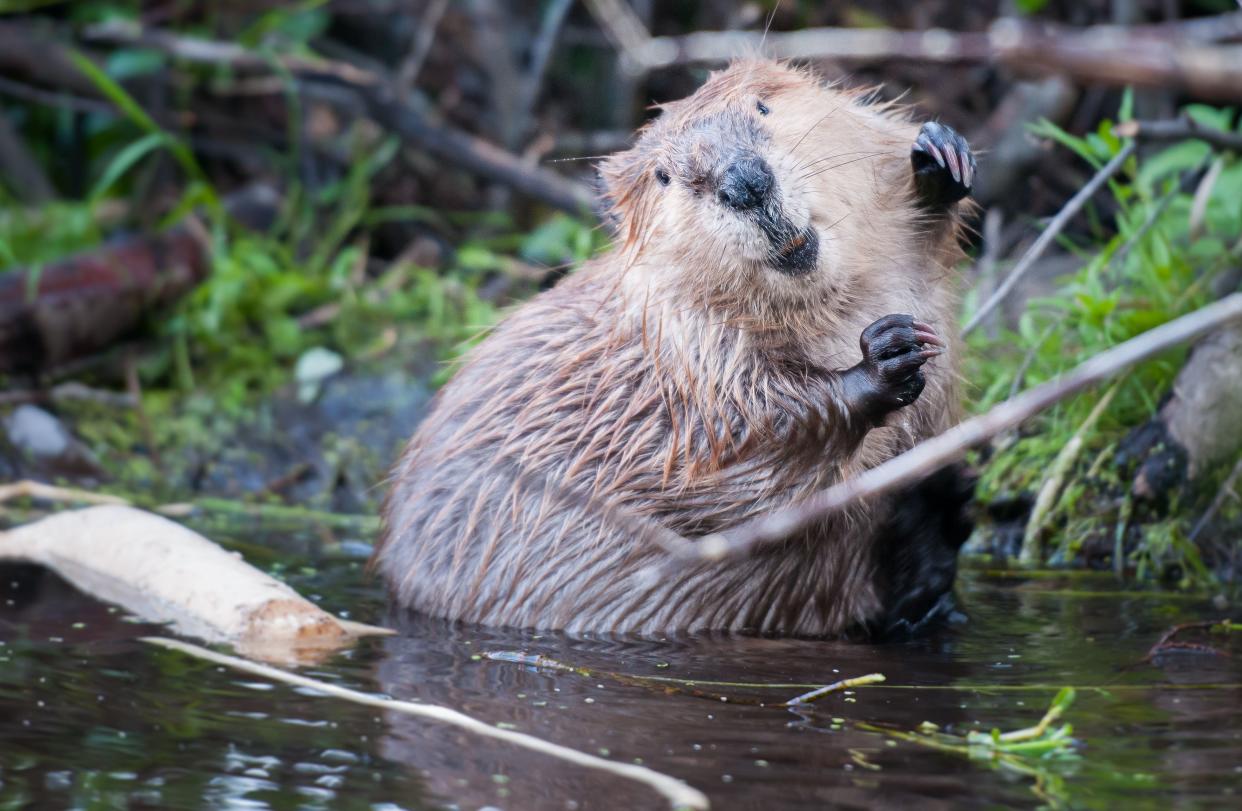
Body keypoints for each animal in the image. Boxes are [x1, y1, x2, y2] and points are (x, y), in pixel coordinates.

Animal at [372, 60, 973, 635]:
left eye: (762, 106)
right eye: (664, 176)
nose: (745, 183)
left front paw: (939, 158)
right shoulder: (684, 354)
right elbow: (740, 462)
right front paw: (885, 356)